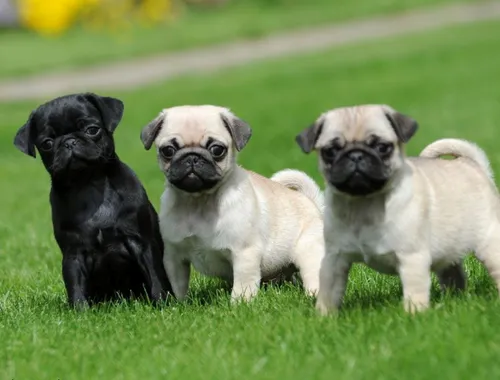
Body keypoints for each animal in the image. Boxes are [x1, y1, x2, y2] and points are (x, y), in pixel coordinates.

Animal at [13, 93, 172, 308]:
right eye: (46, 143)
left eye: (92, 130)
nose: (69, 142)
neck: (90, 183)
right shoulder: (74, 254)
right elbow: (75, 286)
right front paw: (80, 311)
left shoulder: (142, 243)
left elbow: (155, 277)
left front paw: (164, 304)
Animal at [141, 105, 324, 302]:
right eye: (168, 150)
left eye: (217, 150)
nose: (192, 157)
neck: (198, 202)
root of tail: (310, 201)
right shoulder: (174, 258)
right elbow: (177, 285)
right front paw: (178, 303)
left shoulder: (244, 253)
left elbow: (243, 284)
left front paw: (240, 303)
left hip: (309, 250)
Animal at [296, 104, 500, 314]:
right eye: (330, 151)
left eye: (382, 147)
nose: (356, 155)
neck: (364, 203)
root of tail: (473, 164)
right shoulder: (334, 260)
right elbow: (328, 293)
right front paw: (324, 316)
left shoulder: (412, 258)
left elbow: (414, 293)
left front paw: (414, 315)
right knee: (452, 274)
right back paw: (453, 298)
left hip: (489, 242)